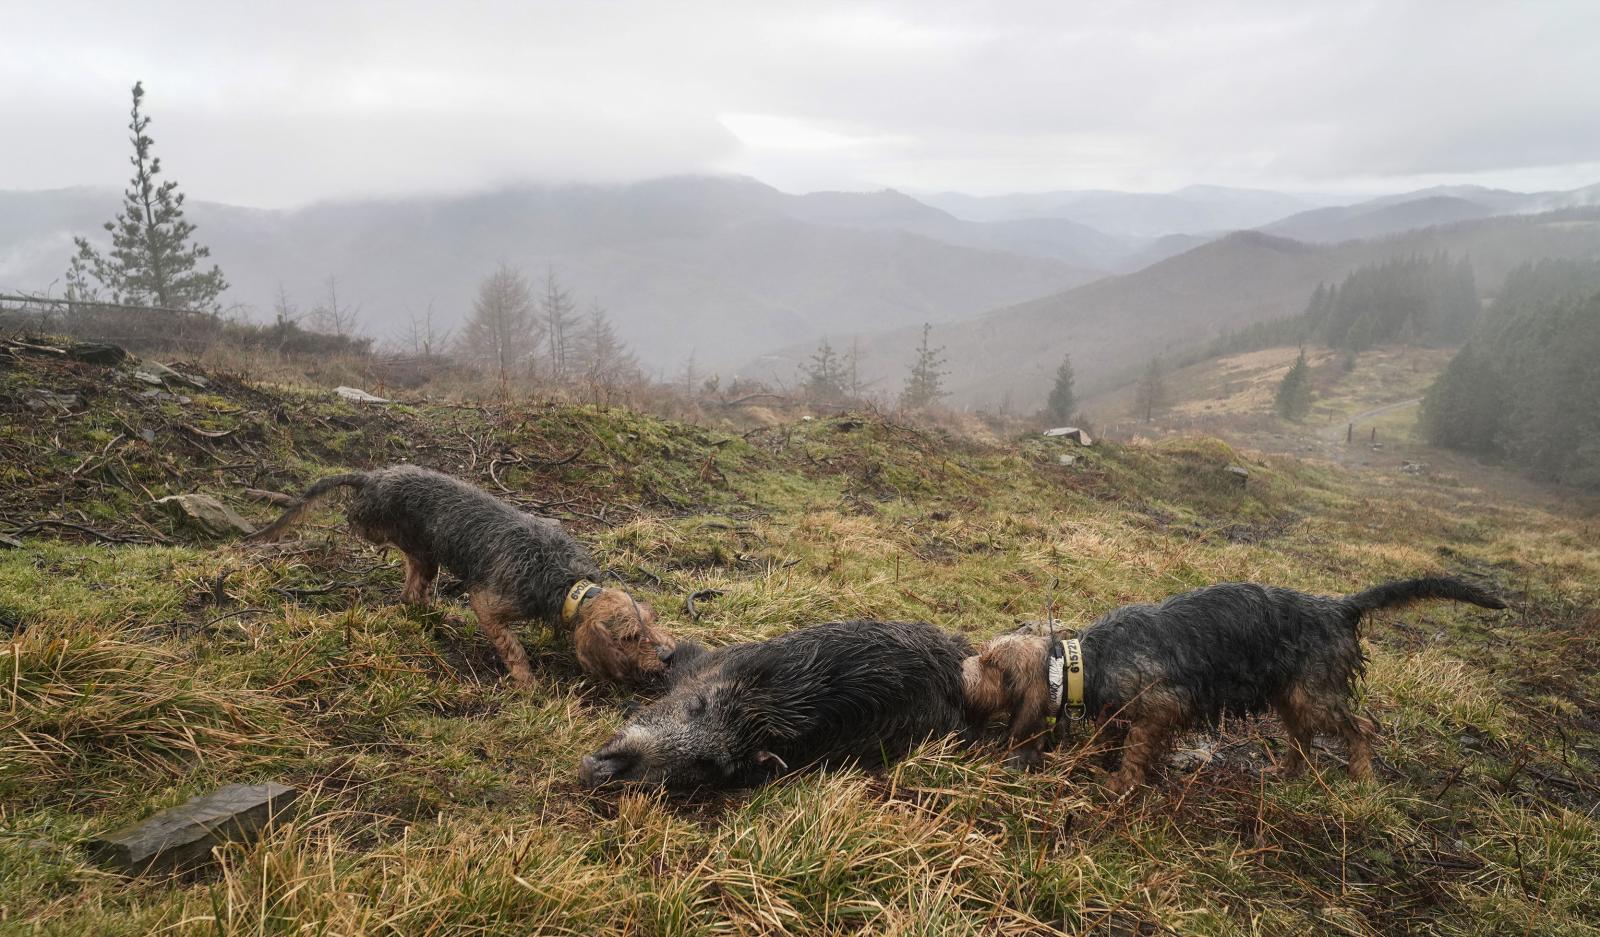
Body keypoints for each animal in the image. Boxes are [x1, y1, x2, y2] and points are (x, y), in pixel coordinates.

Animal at [246, 463, 678, 681]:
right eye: (629, 636)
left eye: (651, 620)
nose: (670, 655)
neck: (565, 580)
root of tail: (374, 477)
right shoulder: (487, 603)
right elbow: (513, 648)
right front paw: (526, 684)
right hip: (399, 539)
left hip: (426, 557)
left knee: (412, 593)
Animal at [966, 575, 1504, 786]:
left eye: (990, 661)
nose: (962, 670)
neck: (1079, 663)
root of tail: (1338, 608)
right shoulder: (1116, 712)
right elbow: (1106, 739)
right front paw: (1091, 765)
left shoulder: (1162, 707)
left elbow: (1137, 748)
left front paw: (1122, 783)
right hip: (1289, 696)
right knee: (1302, 739)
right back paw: (1285, 773)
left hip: (1313, 695)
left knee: (1361, 730)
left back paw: (1363, 778)